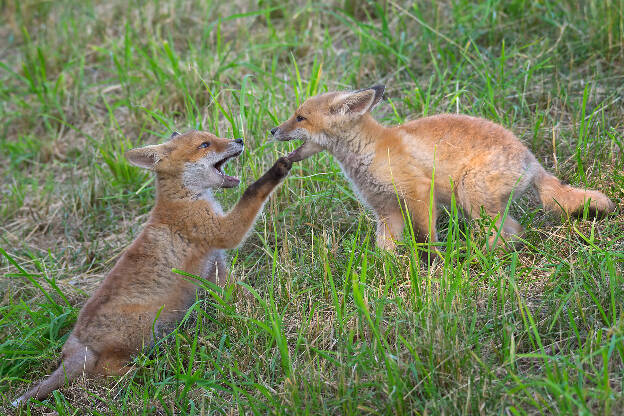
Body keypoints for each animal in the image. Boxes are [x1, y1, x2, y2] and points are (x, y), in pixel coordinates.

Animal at [12, 131, 292, 406]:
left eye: (213, 136)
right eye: (205, 144)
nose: (239, 140)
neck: (185, 200)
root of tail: (77, 345)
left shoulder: (215, 265)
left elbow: (235, 295)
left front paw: (259, 309)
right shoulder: (224, 233)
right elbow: (252, 192)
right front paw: (278, 168)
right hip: (144, 326)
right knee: (102, 372)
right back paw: (145, 371)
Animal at [272, 85, 616, 250]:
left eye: (300, 118)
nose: (273, 131)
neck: (370, 152)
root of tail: (531, 159)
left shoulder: (418, 193)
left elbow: (426, 238)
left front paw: (433, 267)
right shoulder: (386, 211)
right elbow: (384, 250)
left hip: (470, 196)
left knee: (508, 236)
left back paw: (476, 257)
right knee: (514, 233)